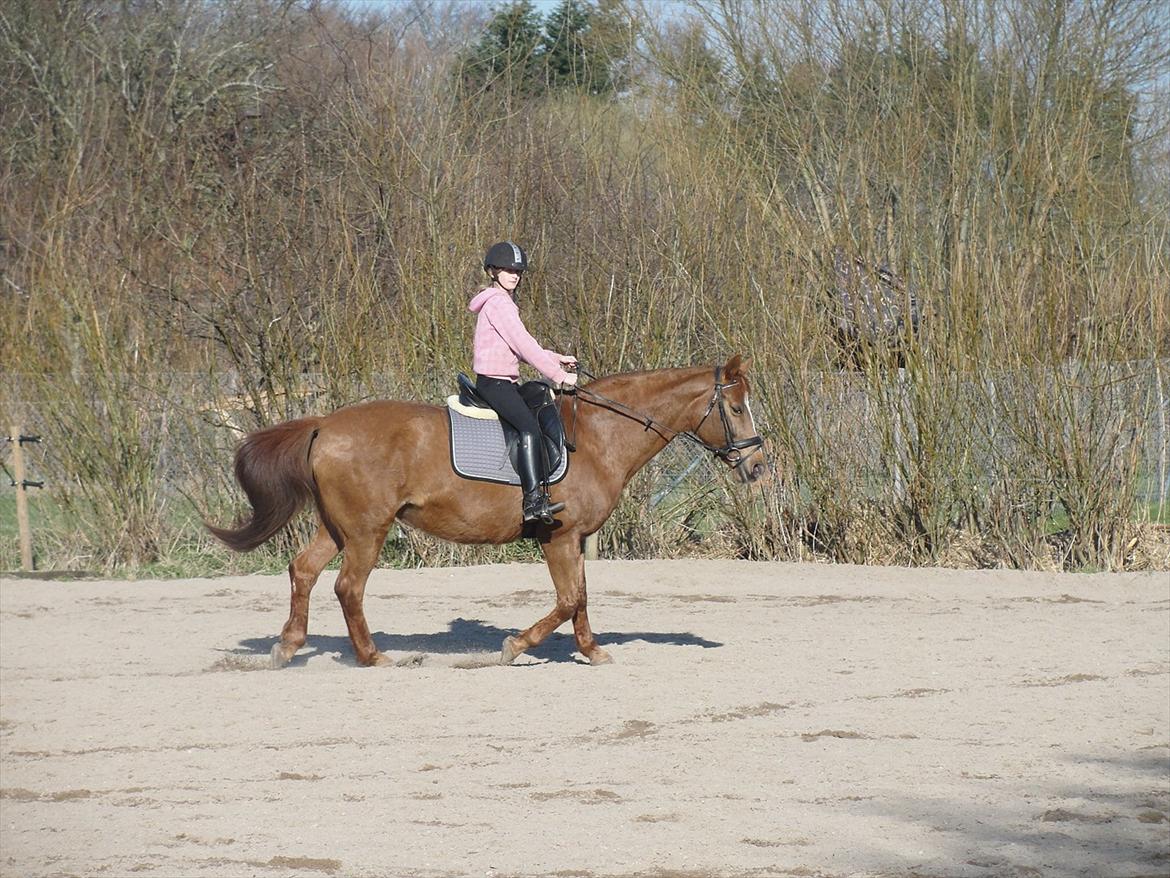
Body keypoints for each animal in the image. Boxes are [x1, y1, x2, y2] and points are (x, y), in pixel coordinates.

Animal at [205, 355, 762, 664]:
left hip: (340, 526)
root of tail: (324, 423)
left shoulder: (576, 539)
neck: (599, 436)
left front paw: (591, 651)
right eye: (736, 409)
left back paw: (288, 646)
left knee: (303, 570)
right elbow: (567, 601)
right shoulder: (558, 536)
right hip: (367, 531)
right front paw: (515, 647)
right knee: (348, 587)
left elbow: (580, 599)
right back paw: (371, 657)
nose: (757, 467)